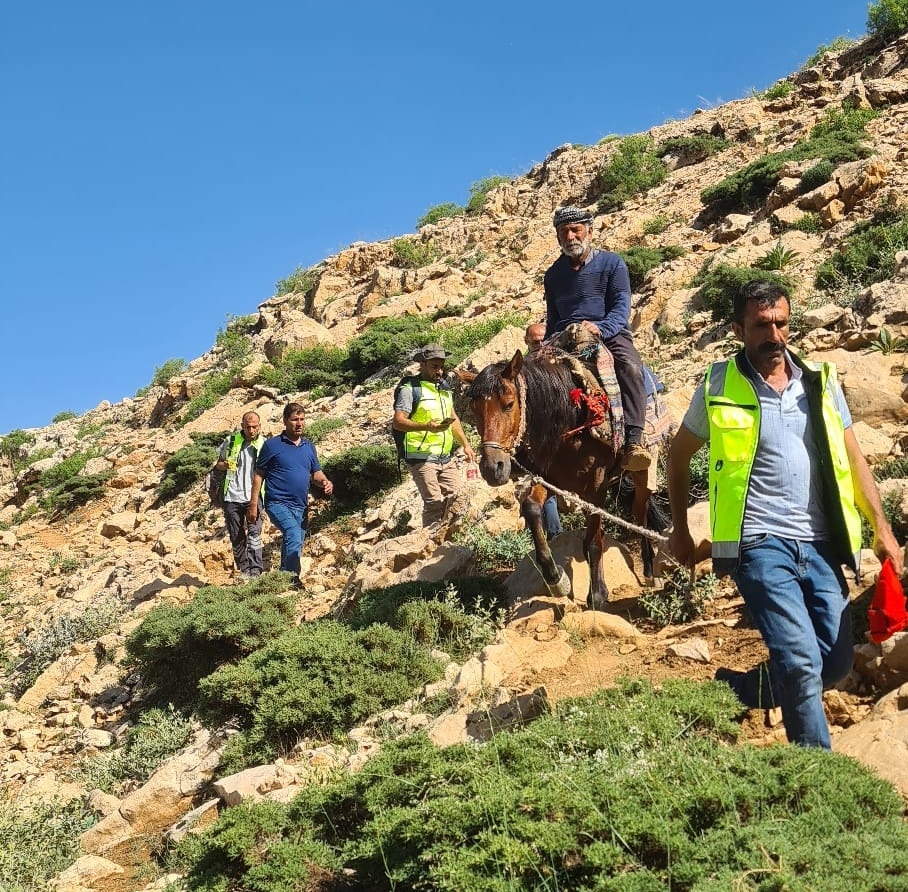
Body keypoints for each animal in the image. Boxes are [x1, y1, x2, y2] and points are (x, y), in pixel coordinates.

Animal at [462, 346, 660, 608]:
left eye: (509, 404)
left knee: (640, 512)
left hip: (642, 471)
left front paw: (597, 595)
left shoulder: (595, 487)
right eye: (474, 410)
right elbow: (532, 508)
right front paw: (557, 580)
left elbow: (594, 542)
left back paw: (648, 570)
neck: (568, 423)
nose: (492, 468)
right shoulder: (549, 479)